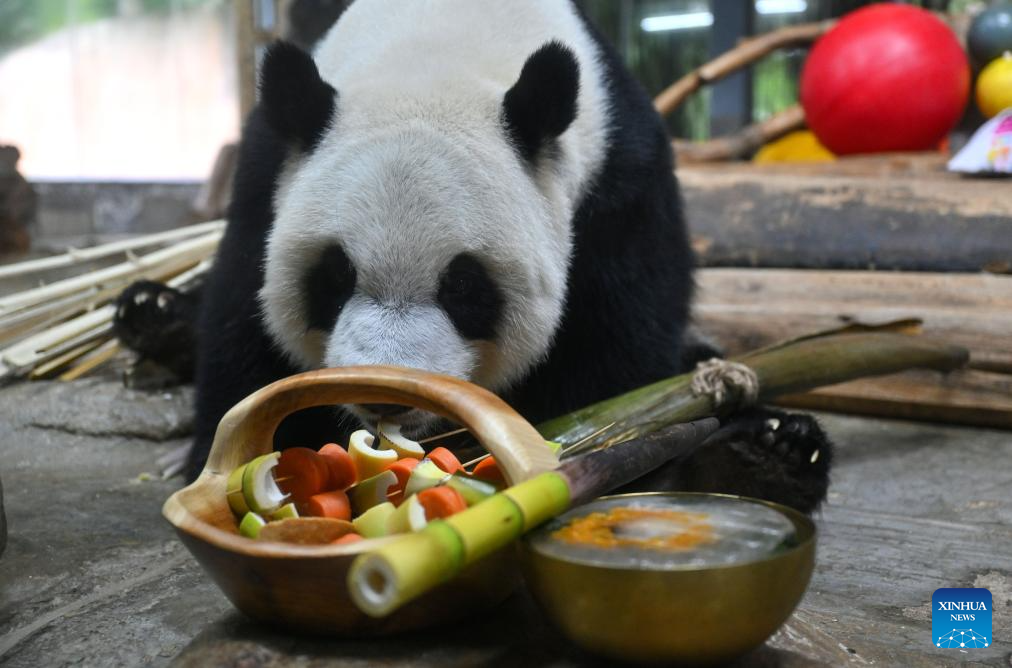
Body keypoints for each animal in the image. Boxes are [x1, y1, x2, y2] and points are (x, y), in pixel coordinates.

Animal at [114, 0, 833, 512]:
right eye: (334, 276)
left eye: (464, 287)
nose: (382, 395)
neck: (436, 48)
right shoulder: (271, 168)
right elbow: (243, 319)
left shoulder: (616, 181)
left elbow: (609, 352)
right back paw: (154, 313)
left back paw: (765, 455)